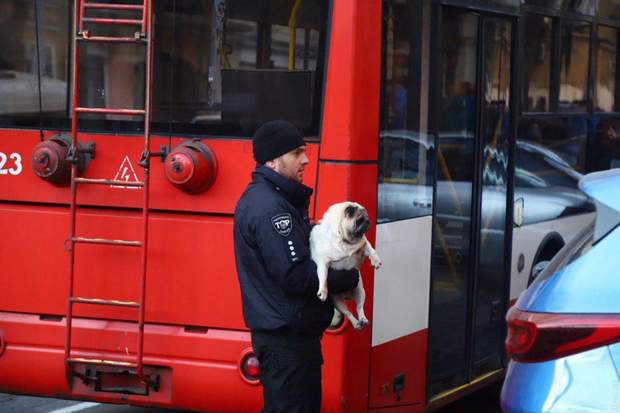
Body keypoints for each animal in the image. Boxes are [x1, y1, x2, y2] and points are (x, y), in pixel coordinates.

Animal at [309, 201, 381, 330]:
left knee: (359, 307)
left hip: (360, 291)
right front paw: (323, 291)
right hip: (337, 302)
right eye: (359, 220)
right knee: (348, 313)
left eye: (367, 218)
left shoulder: (363, 242)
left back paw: (362, 319)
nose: (368, 221)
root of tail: (346, 296)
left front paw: (376, 260)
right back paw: (356, 322)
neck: (345, 242)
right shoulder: (323, 262)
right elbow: (323, 276)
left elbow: (371, 249)